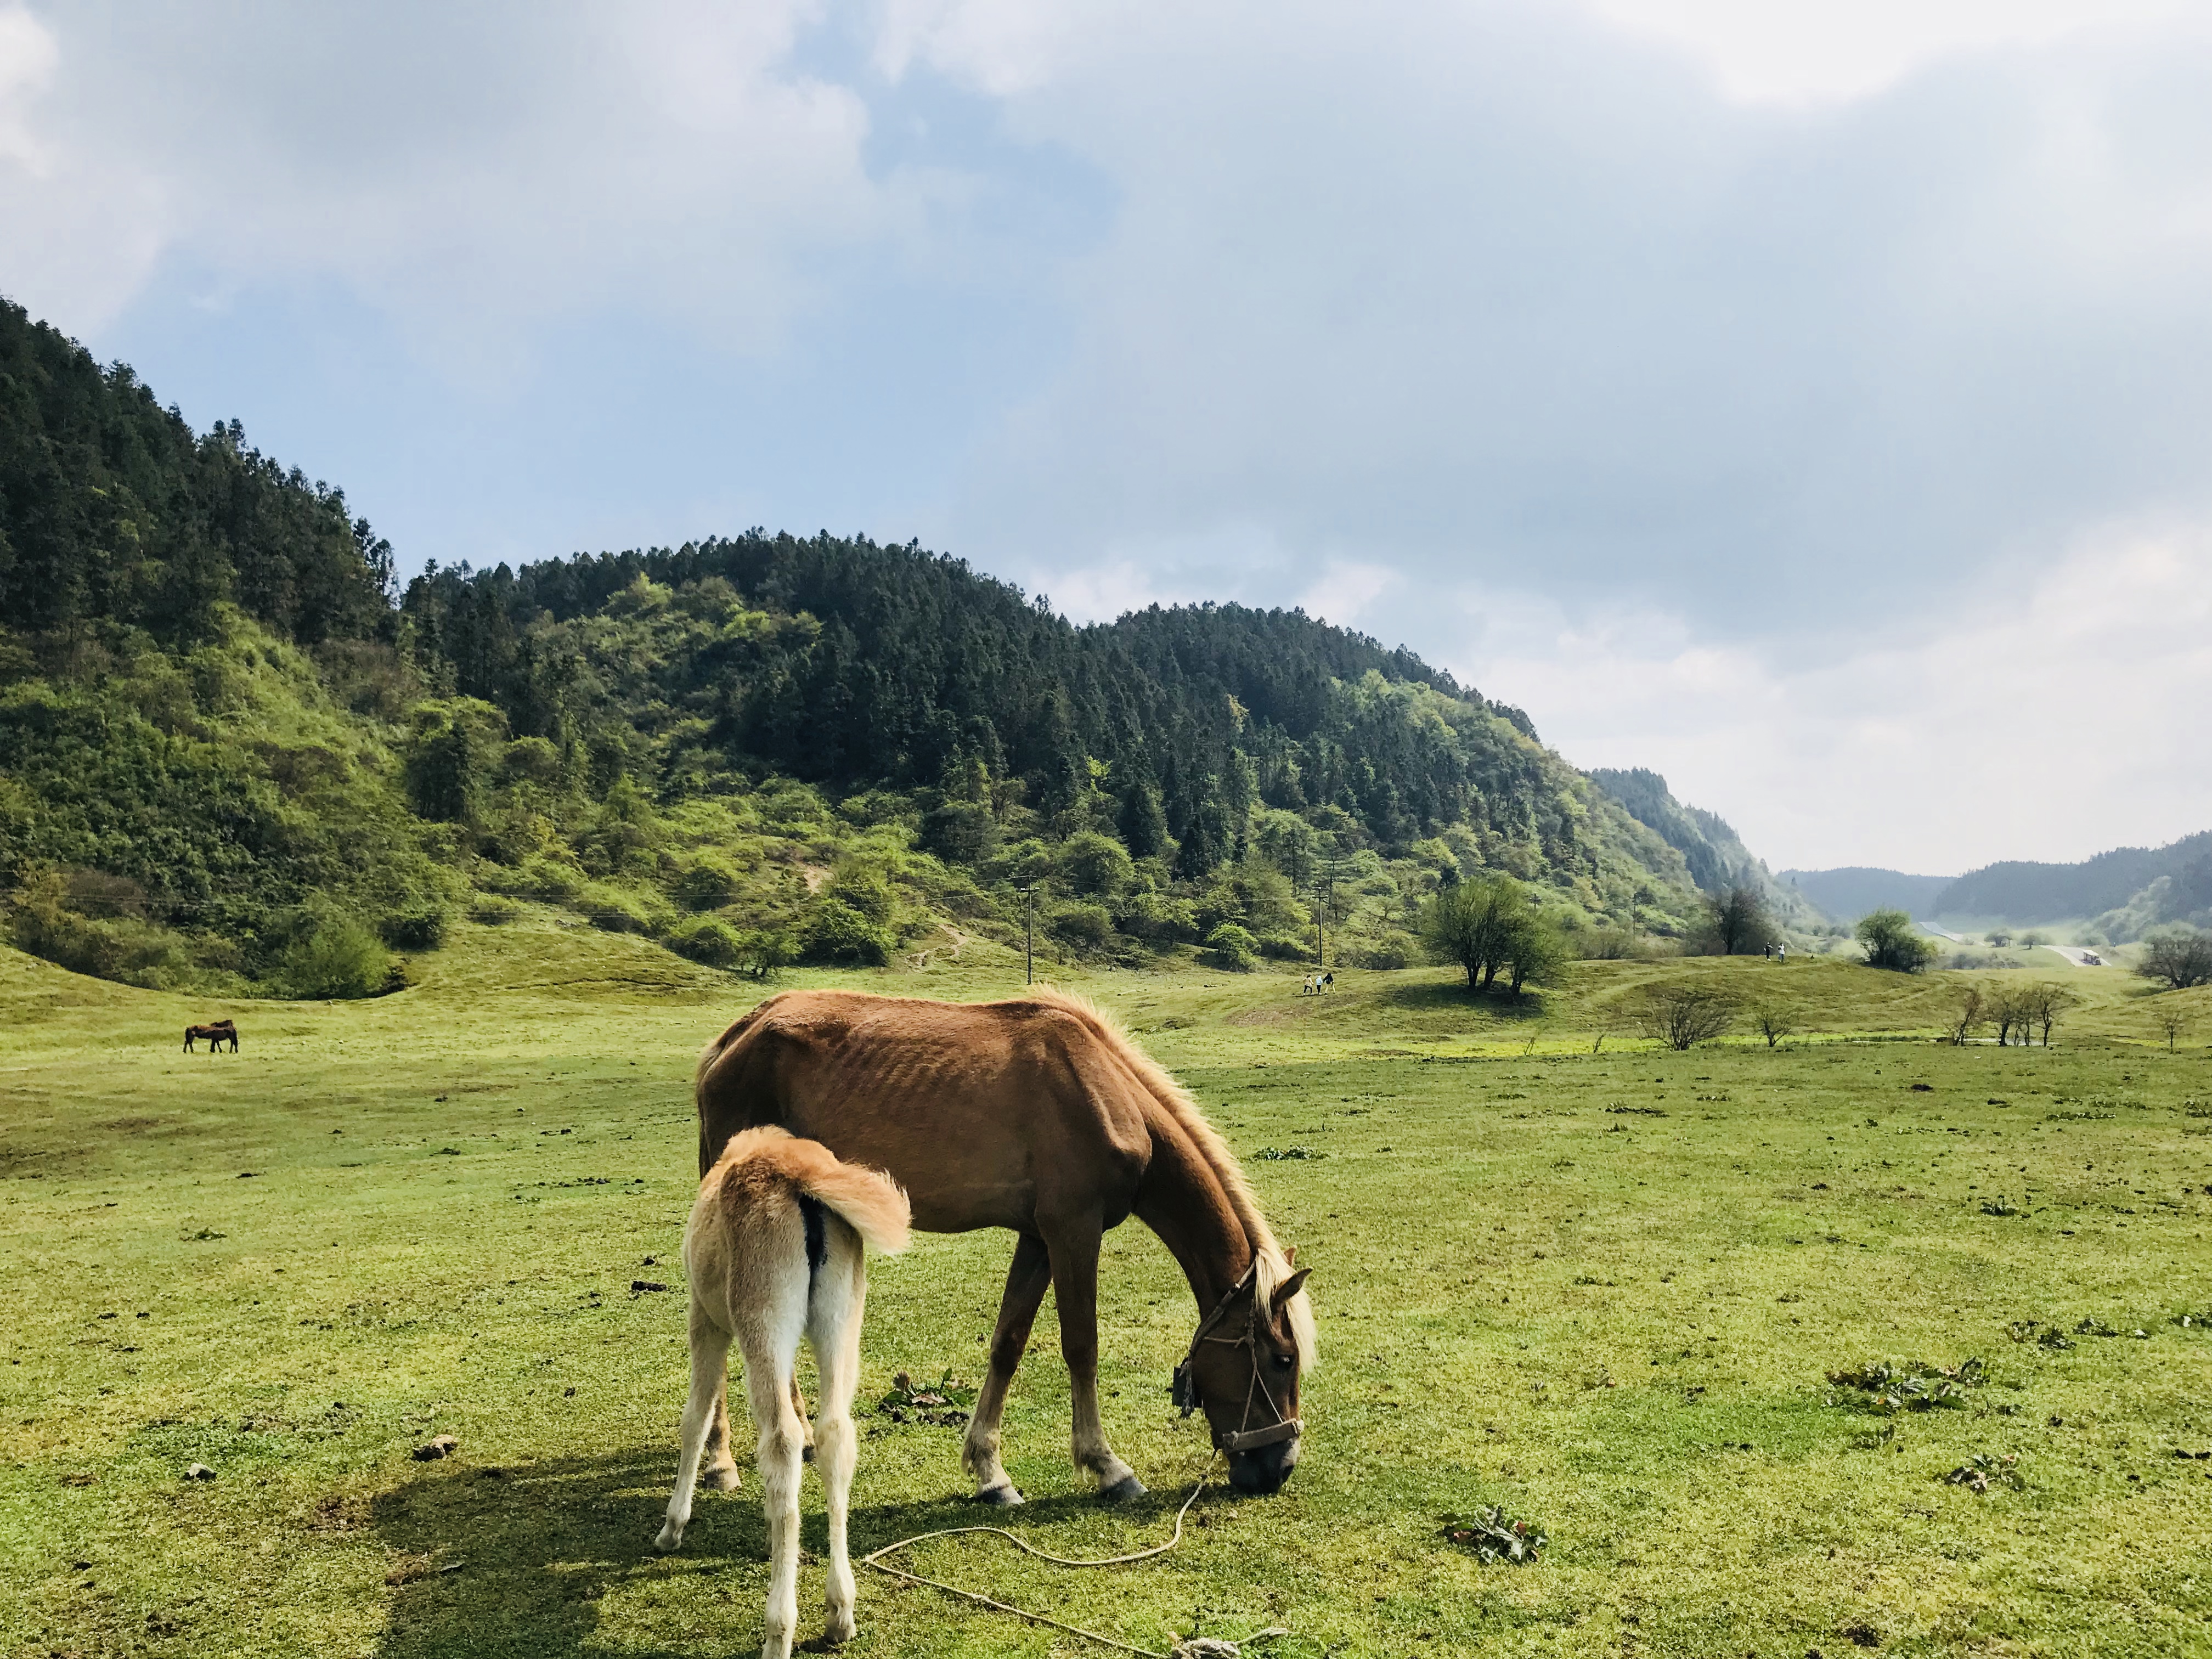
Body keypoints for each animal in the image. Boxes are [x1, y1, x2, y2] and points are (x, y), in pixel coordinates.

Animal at [654, 1132, 907, 1659]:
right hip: (842, 1318)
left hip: (761, 1315)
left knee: (781, 1440)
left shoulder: (705, 1320)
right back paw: (840, 1611)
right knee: (836, 1433)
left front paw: (672, 1527)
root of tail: (801, 1177)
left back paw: (779, 1630)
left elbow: (695, 1417)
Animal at [690, 995, 1309, 1513]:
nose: (1279, 1467)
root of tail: (736, 1038)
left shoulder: (1038, 1239)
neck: (1102, 1090)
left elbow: (1008, 1343)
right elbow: (1082, 1345)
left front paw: (989, 1471)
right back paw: (719, 1462)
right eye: (1283, 1360)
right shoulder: (1073, 1231)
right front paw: (1107, 1466)